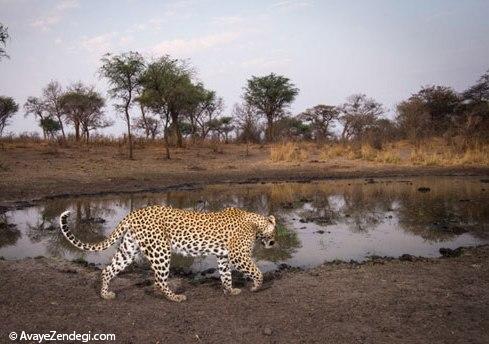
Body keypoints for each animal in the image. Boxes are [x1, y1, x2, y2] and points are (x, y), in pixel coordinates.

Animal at [58, 206, 274, 302]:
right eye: (275, 232)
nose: (274, 242)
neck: (256, 222)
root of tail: (134, 213)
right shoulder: (238, 255)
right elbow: (257, 271)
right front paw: (256, 287)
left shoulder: (223, 256)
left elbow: (226, 275)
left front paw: (230, 291)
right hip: (161, 250)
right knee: (159, 280)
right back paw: (176, 297)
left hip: (128, 249)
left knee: (108, 269)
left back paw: (105, 294)